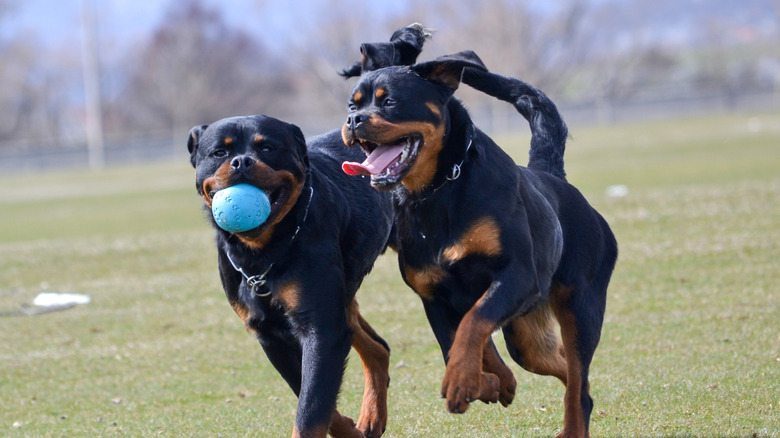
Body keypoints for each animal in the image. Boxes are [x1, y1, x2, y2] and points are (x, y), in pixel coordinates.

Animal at [189, 24, 432, 438]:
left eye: (267, 148)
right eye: (219, 152)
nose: (241, 161)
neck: (265, 250)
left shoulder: (321, 325)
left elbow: (312, 405)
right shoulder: (271, 333)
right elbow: (312, 396)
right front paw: (347, 428)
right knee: (377, 347)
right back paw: (370, 418)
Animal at [342, 52, 616, 438]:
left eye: (389, 101)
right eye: (352, 104)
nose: (353, 119)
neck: (438, 190)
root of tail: (553, 178)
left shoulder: (517, 276)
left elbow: (474, 323)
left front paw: (462, 382)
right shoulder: (434, 294)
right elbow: (460, 342)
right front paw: (491, 383)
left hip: (580, 305)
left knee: (578, 385)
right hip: (527, 336)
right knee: (566, 371)